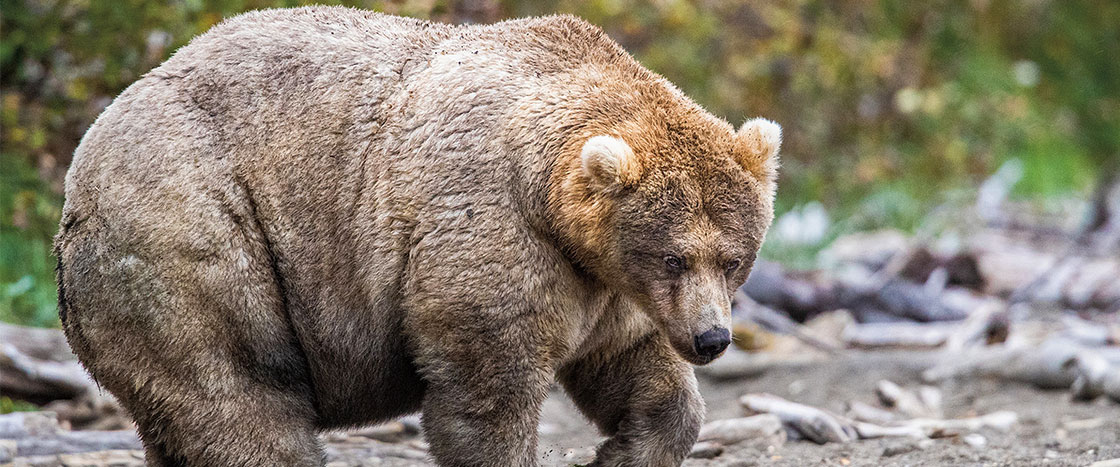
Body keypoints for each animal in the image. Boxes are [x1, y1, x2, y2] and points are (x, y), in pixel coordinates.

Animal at [52, 4, 779, 465]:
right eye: (674, 256)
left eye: (733, 259)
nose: (712, 339)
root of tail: (79, 171)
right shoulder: (494, 229)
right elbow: (488, 393)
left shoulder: (603, 283)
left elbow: (634, 368)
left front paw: (622, 450)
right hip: (196, 239)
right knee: (239, 399)